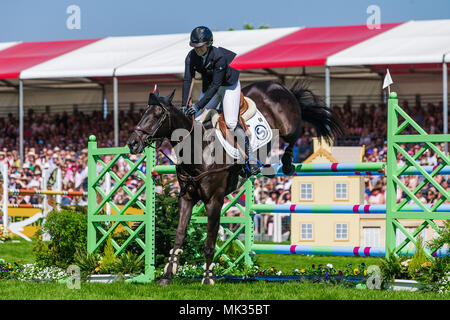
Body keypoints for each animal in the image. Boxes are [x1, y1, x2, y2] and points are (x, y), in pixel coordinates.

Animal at [126, 80, 344, 284]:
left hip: (289, 125)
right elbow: (179, 237)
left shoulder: (214, 201)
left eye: (157, 115)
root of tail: (278, 85)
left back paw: (288, 163)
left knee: (295, 134)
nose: (132, 143)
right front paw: (167, 276)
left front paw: (208, 278)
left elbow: (210, 242)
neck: (199, 149)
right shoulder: (186, 198)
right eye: (143, 113)